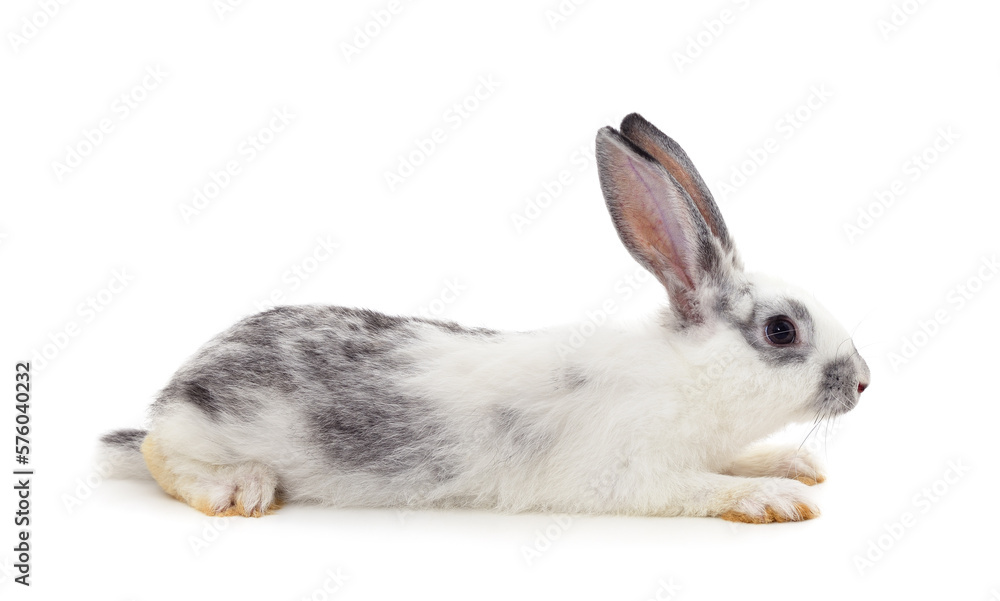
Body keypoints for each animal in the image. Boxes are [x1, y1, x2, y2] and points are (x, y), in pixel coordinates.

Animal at [99, 113, 870, 523]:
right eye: (781, 330)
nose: (863, 381)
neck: (691, 378)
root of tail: (179, 388)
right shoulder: (632, 474)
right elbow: (703, 487)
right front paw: (773, 497)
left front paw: (792, 464)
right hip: (201, 436)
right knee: (158, 454)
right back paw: (239, 487)